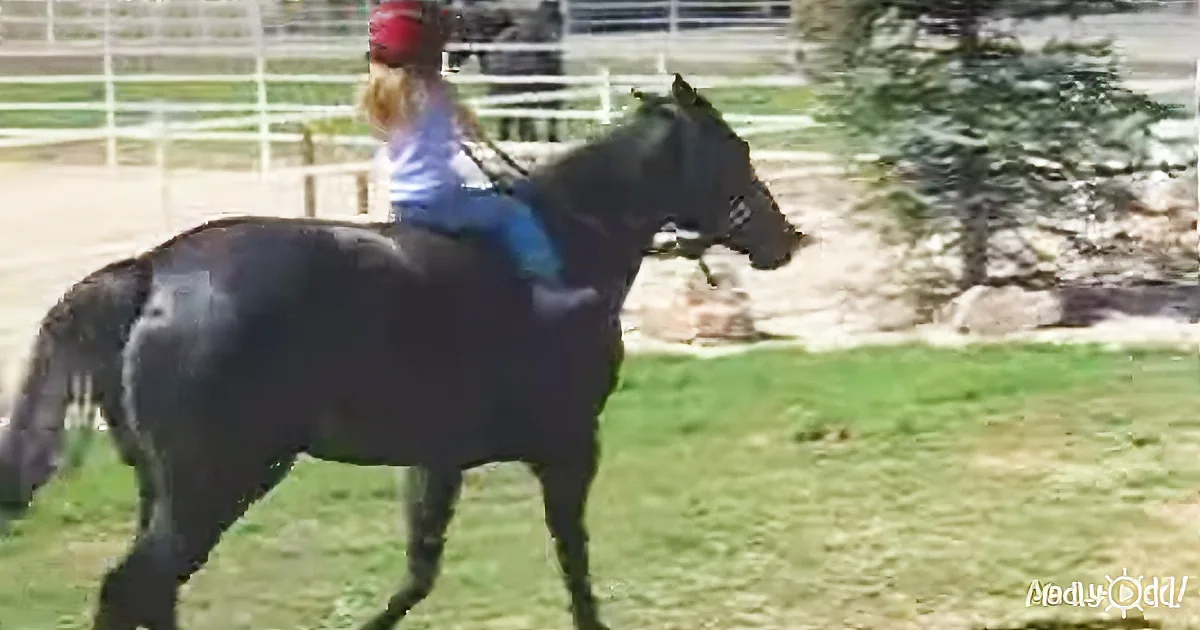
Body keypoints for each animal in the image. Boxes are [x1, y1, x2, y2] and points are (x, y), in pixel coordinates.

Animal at [0, 75, 806, 630]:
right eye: (734, 151)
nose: (785, 238)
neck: (574, 242)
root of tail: (151, 272)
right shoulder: (570, 448)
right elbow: (572, 561)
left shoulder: (437, 460)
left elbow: (420, 571)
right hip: (215, 484)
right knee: (132, 588)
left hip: (166, 488)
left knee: (152, 592)